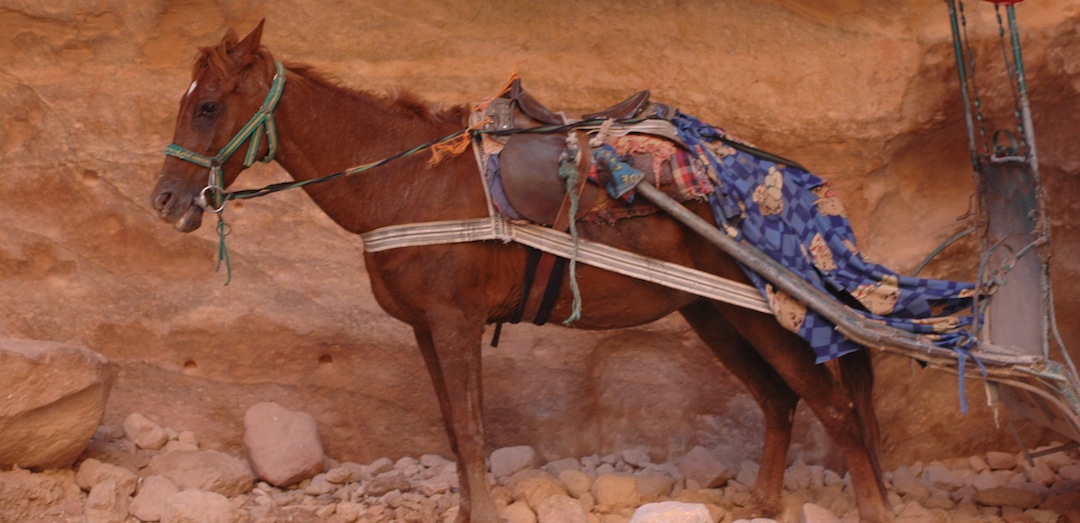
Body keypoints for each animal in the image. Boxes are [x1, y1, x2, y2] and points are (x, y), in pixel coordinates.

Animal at [150, 21, 892, 523]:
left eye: (209, 104)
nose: (164, 200)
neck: (405, 183)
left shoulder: (456, 321)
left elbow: (473, 426)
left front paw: (481, 512)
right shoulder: (427, 327)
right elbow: (454, 427)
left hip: (765, 310)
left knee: (835, 408)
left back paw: (870, 505)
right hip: (711, 309)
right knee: (779, 401)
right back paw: (764, 501)